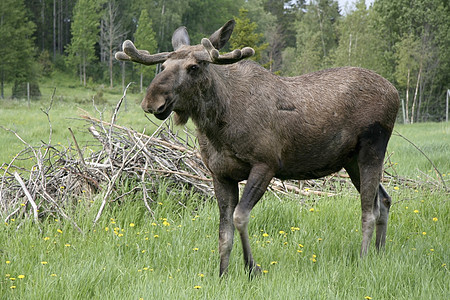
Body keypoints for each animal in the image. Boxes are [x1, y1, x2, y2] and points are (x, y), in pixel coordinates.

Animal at [116, 18, 400, 276]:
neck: (218, 128)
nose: (152, 101)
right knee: (384, 200)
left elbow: (240, 217)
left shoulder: (266, 164)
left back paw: (363, 259)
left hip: (372, 148)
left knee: (368, 210)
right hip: (350, 160)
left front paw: (252, 268)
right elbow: (224, 232)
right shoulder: (220, 174)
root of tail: (396, 93)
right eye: (163, 65)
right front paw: (222, 274)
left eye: (194, 67)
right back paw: (379, 252)